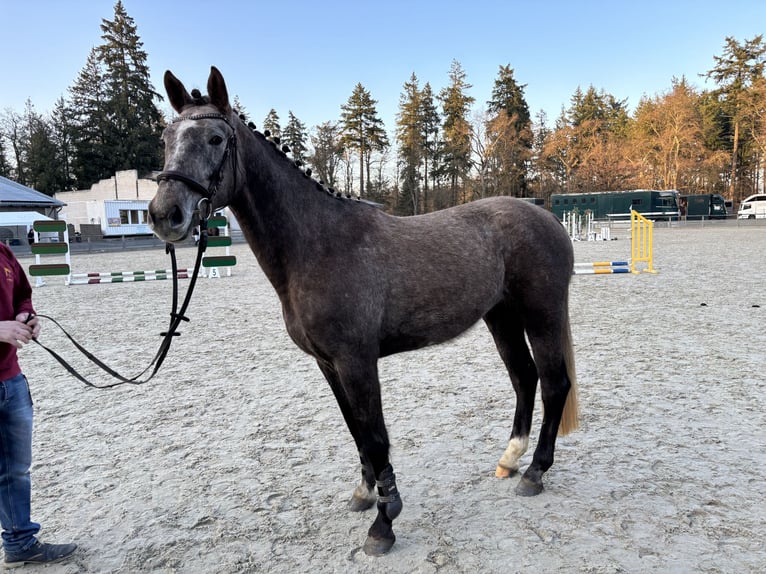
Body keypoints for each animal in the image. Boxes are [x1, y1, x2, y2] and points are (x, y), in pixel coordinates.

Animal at [148, 66, 579, 556]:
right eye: (166, 137)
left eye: (216, 138)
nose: (165, 214)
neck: (318, 245)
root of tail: (547, 218)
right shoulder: (328, 364)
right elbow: (356, 430)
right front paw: (365, 493)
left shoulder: (357, 361)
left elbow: (375, 436)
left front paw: (384, 524)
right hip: (501, 317)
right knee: (524, 378)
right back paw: (509, 460)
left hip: (541, 315)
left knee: (553, 383)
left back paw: (535, 473)